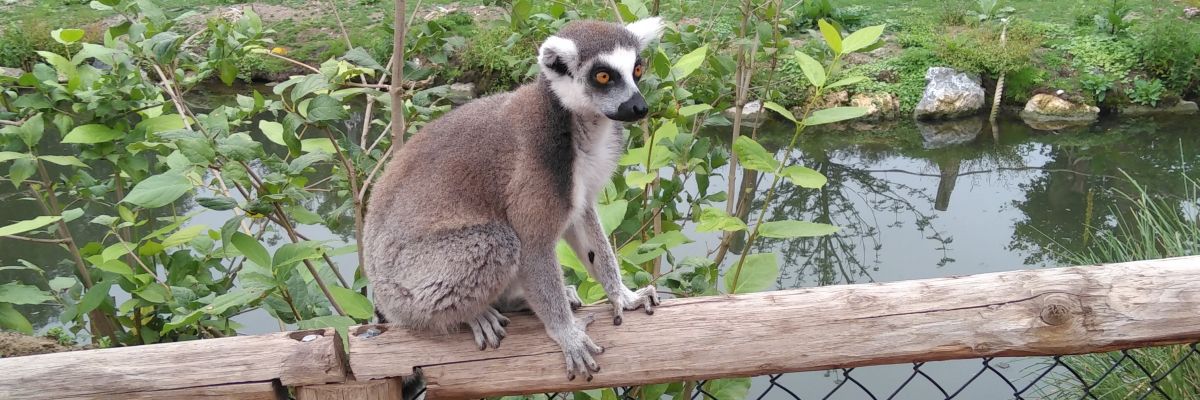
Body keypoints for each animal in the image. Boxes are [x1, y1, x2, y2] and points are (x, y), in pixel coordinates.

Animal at [362, 16, 666, 383]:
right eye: (603, 76)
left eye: (636, 70)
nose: (638, 106)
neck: (578, 128)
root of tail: (380, 291)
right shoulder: (537, 167)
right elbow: (532, 244)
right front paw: (567, 334)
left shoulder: (578, 182)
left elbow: (583, 224)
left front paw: (624, 295)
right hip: (409, 287)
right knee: (499, 242)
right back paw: (472, 314)